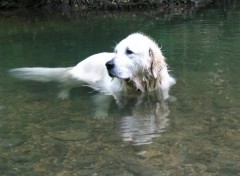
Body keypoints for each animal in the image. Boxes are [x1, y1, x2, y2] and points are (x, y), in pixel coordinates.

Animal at [9, 32, 175, 102]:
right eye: (116, 51)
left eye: (129, 51)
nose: (108, 64)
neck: (140, 83)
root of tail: (76, 65)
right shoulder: (108, 90)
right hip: (78, 78)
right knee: (66, 83)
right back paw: (63, 94)